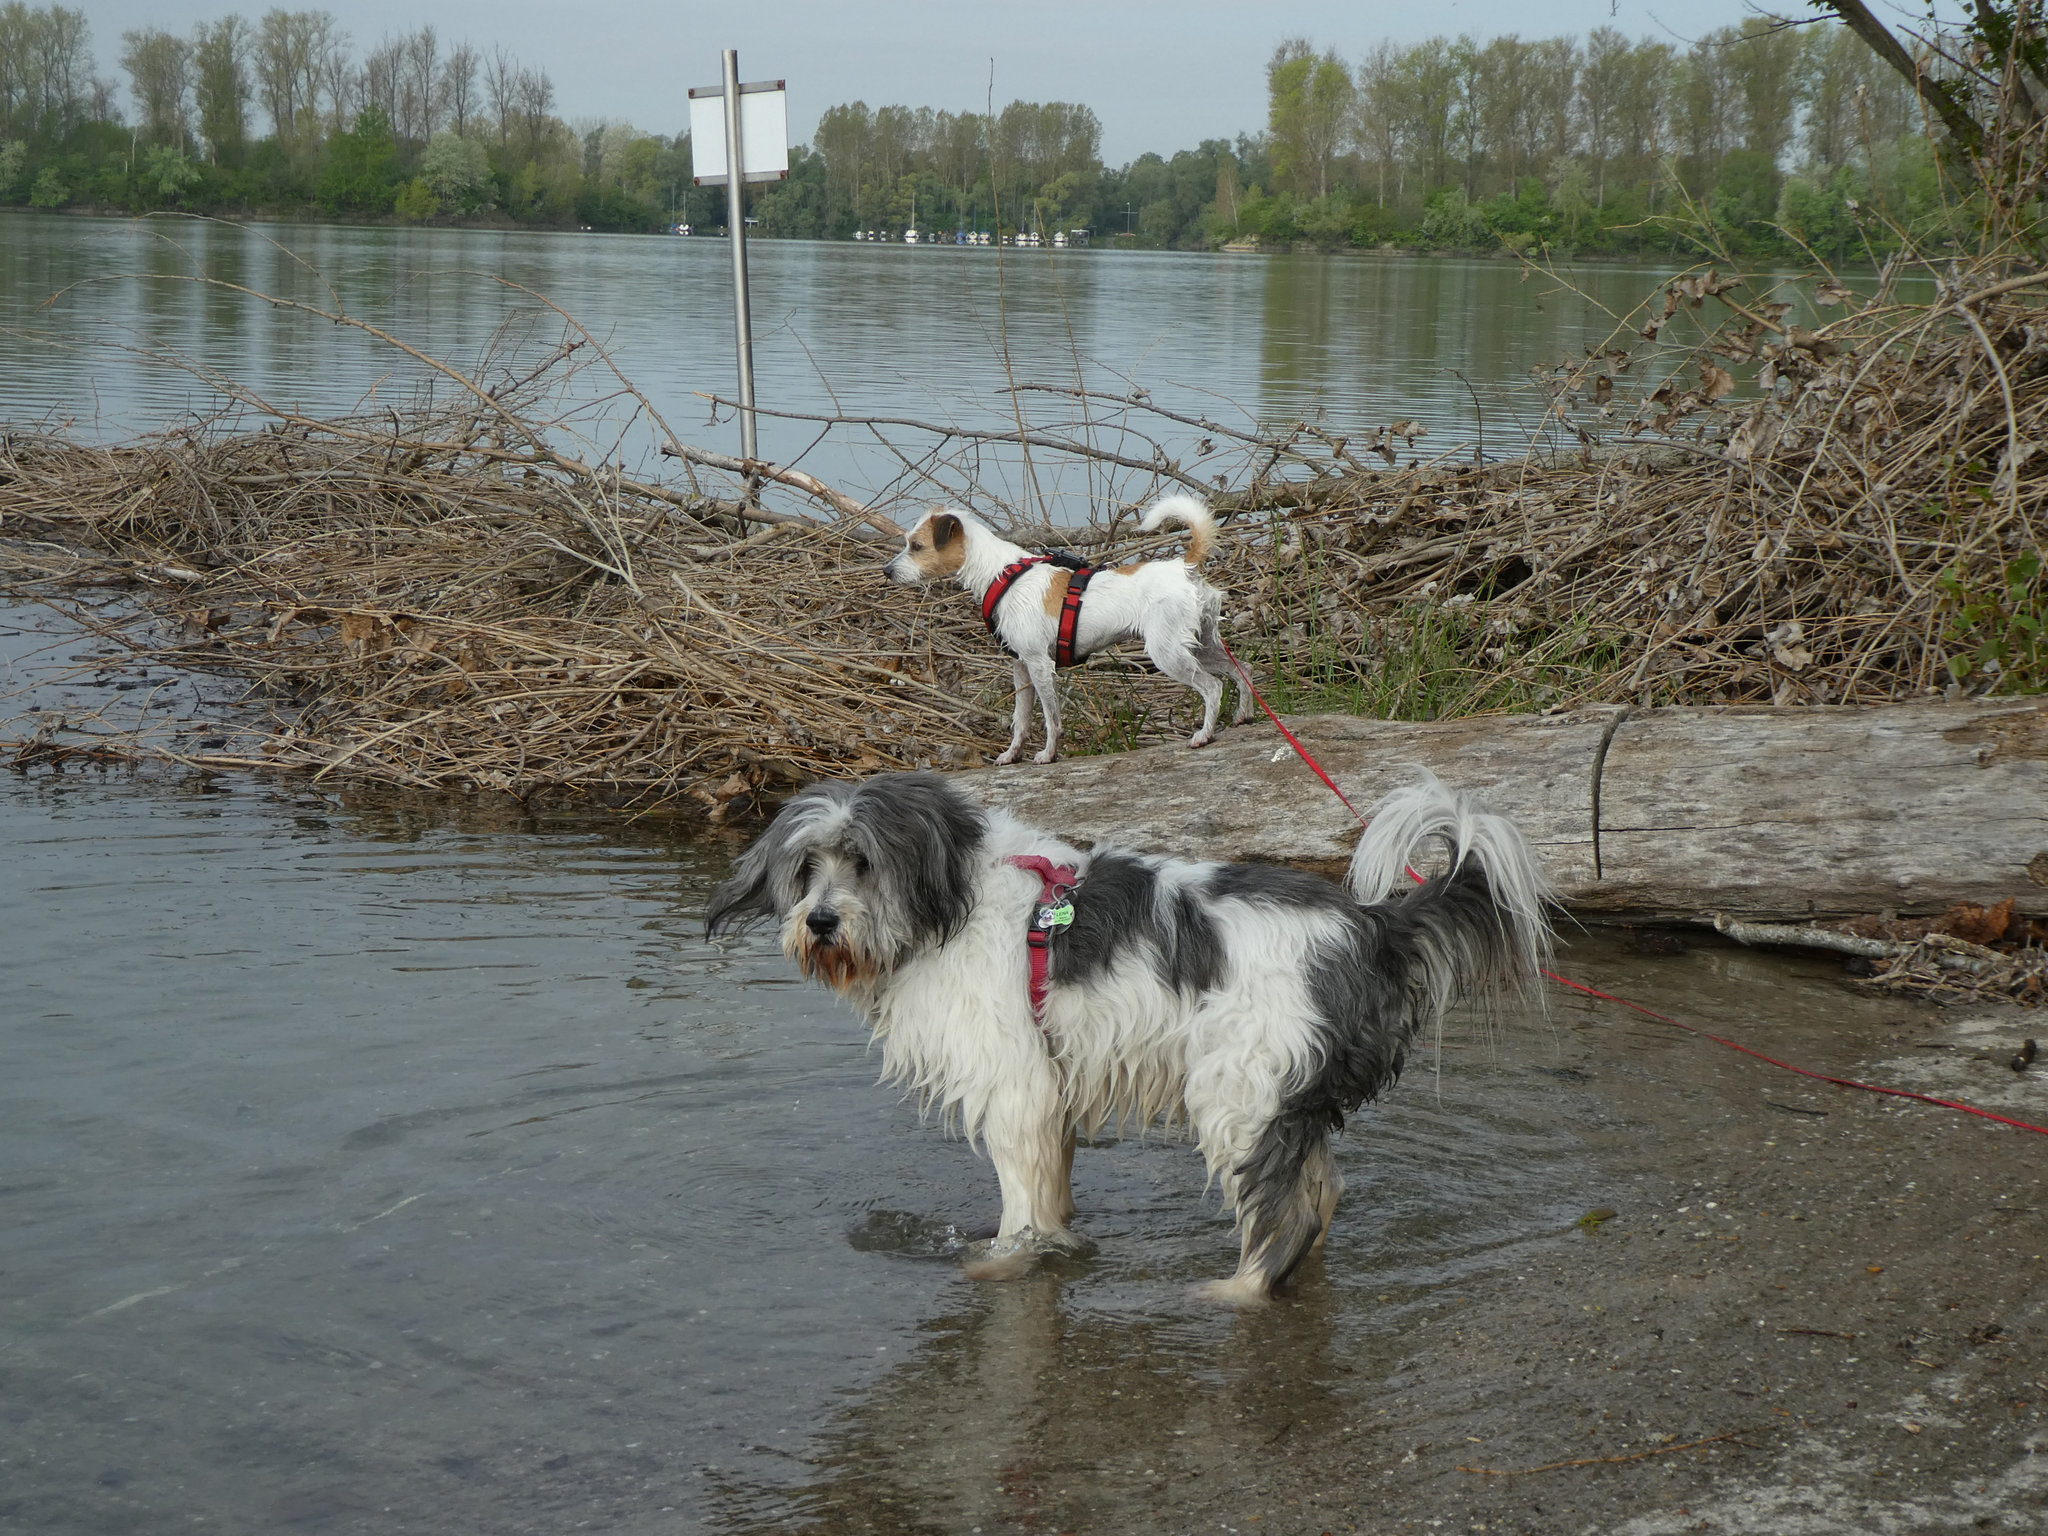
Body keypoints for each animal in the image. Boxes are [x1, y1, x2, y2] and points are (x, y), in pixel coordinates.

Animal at [708, 774, 1548, 1302]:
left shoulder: (1015, 1085)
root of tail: (1372, 928)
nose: (820, 921)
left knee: (1288, 1209)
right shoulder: (1051, 1089)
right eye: (806, 867)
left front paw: (1003, 1262)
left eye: (863, 861)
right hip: (1283, 1094)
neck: (952, 903)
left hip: (1238, 1089)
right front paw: (1052, 1242)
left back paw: (1238, 1291)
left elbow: (1020, 1201)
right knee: (1323, 1189)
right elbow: (1050, 1191)